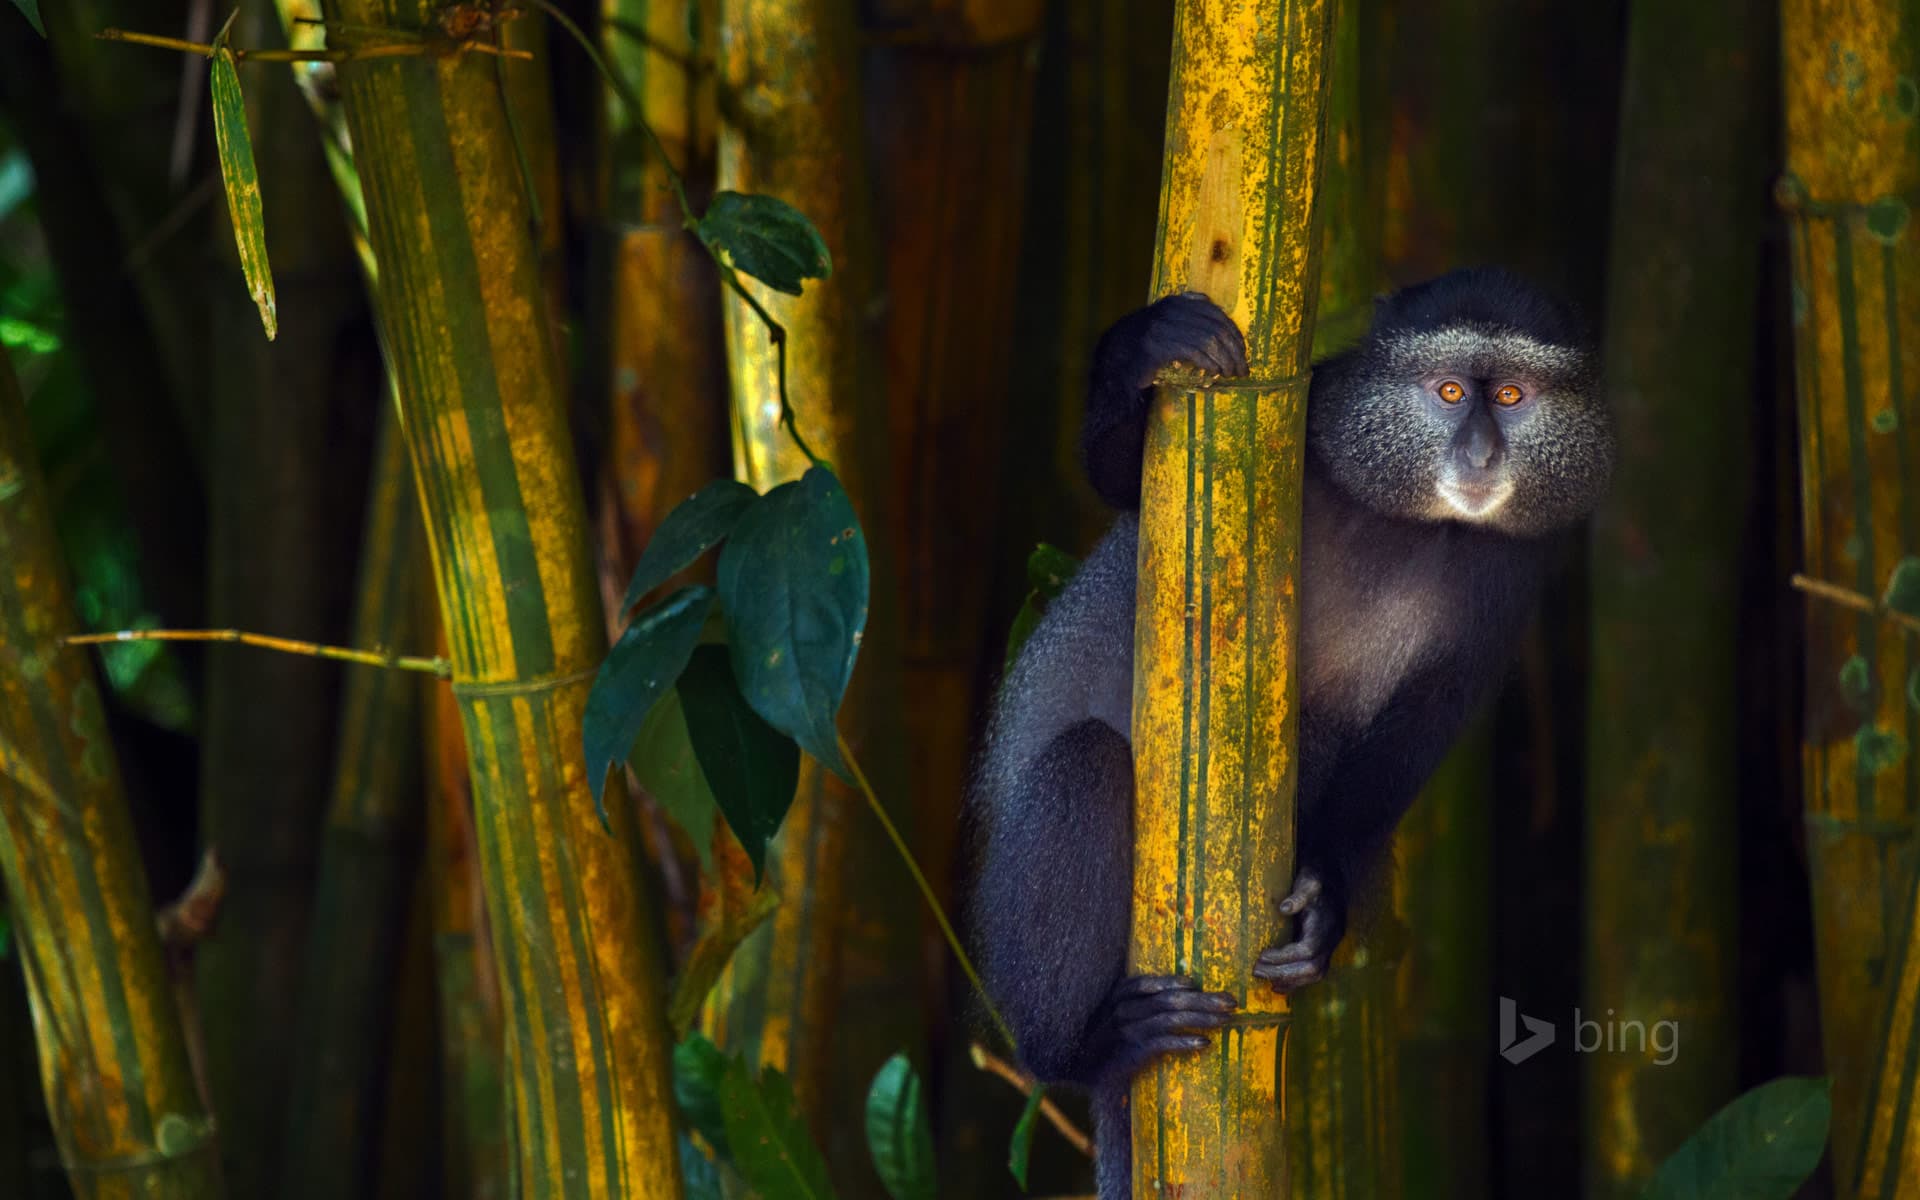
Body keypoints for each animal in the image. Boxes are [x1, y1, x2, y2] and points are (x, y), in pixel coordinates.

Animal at [967, 267, 1612, 1197]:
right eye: (1450, 393)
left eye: (1514, 397)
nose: (1482, 456)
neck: (1413, 523)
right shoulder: (1300, 432)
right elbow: (1133, 482)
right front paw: (1142, 351)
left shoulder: (1514, 575)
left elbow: (1424, 723)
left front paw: (1326, 899)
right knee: (1082, 766)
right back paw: (1085, 1050)